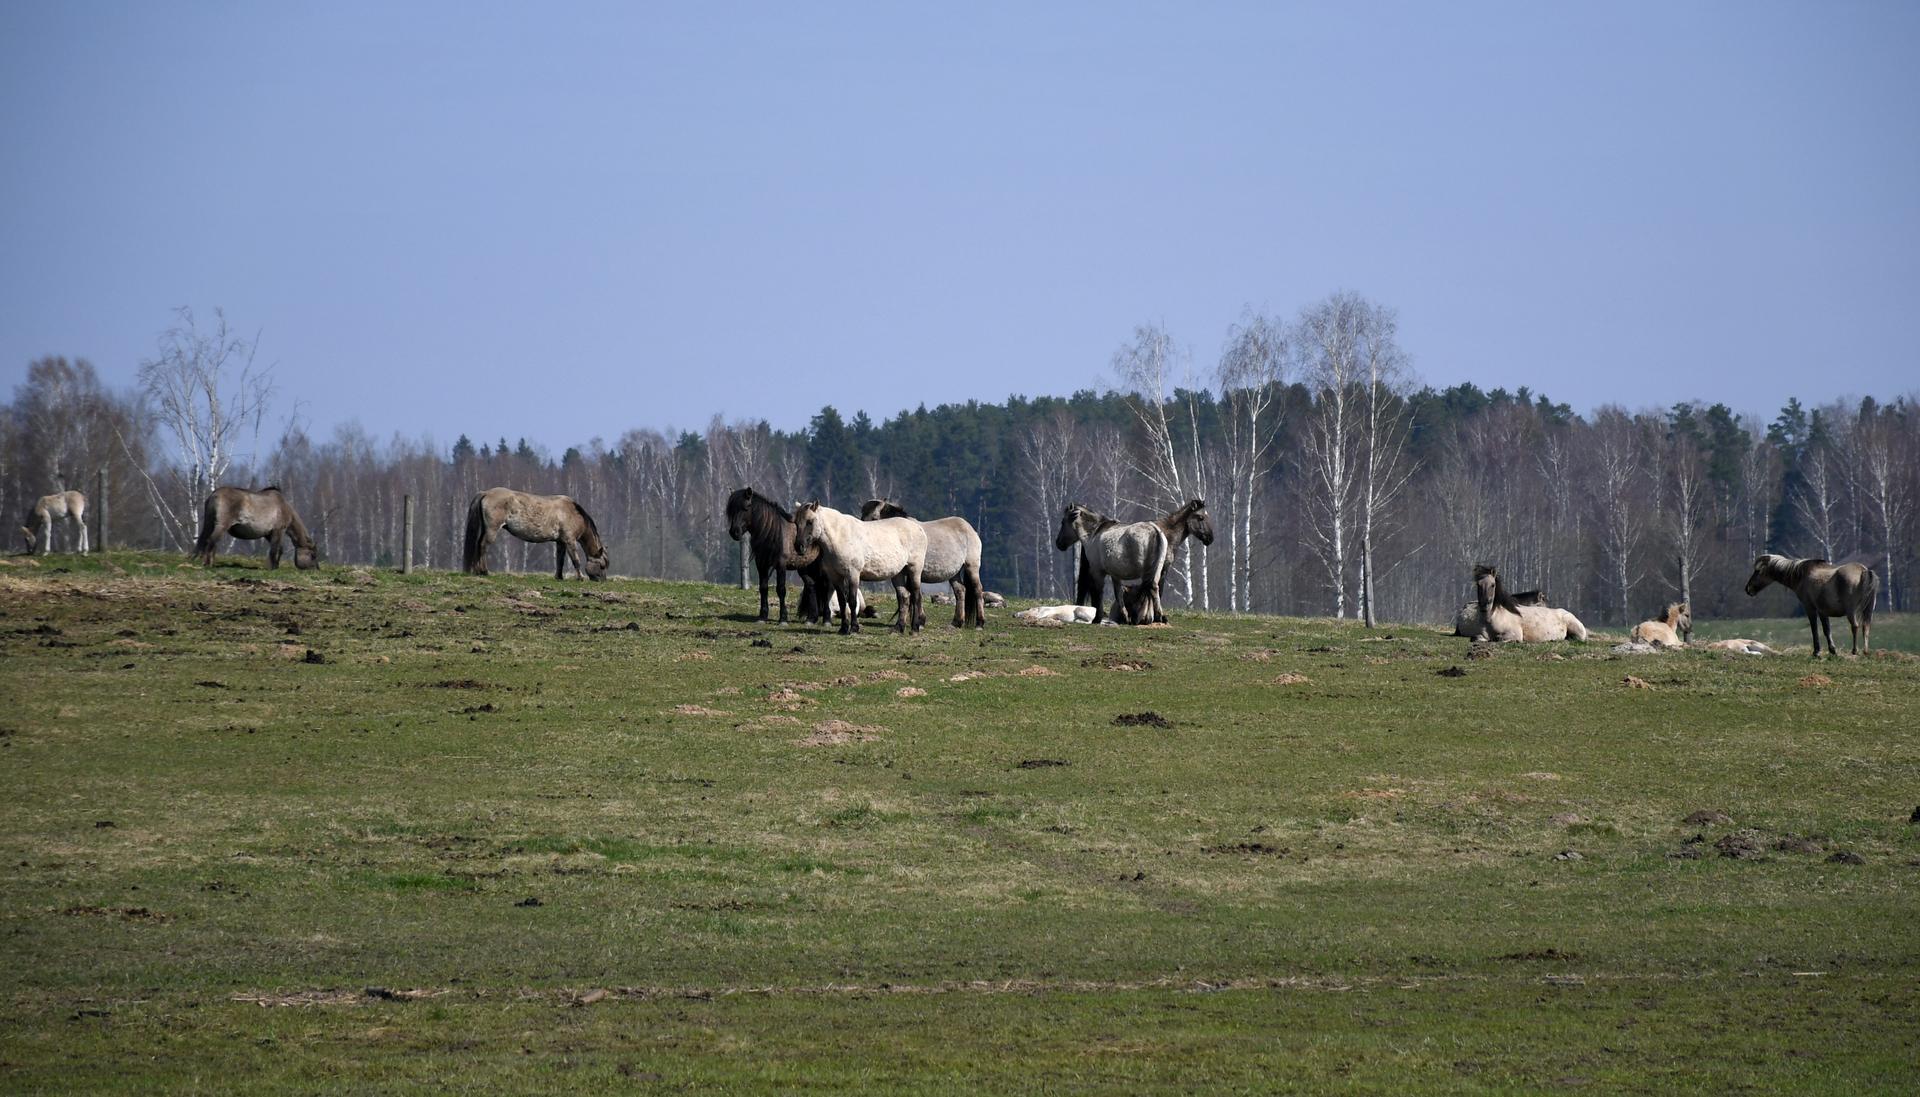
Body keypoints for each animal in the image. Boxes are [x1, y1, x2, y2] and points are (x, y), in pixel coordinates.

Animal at [464, 484, 606, 580]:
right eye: (602, 566)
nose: (602, 581)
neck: (572, 513)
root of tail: (486, 493)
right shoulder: (570, 541)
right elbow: (576, 560)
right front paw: (580, 577)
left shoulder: (560, 542)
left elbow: (560, 560)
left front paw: (559, 577)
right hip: (492, 530)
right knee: (483, 546)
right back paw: (484, 571)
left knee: (478, 545)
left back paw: (478, 571)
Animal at [721, 489, 829, 626]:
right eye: (731, 510)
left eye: (746, 507)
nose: (734, 532)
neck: (772, 532)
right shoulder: (761, 565)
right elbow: (763, 588)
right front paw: (762, 617)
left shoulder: (780, 565)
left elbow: (781, 589)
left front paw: (783, 618)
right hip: (804, 566)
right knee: (811, 586)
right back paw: (811, 619)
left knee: (825, 587)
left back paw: (827, 619)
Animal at [1743, 553, 1873, 657]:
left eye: (1758, 571)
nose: (1748, 589)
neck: (1801, 575)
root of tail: (1864, 571)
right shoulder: (1822, 611)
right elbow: (1827, 630)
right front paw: (1832, 650)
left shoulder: (1810, 608)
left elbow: (1814, 629)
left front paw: (1817, 652)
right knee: (1865, 627)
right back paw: (1865, 651)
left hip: (1851, 612)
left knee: (1855, 626)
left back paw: (1855, 651)